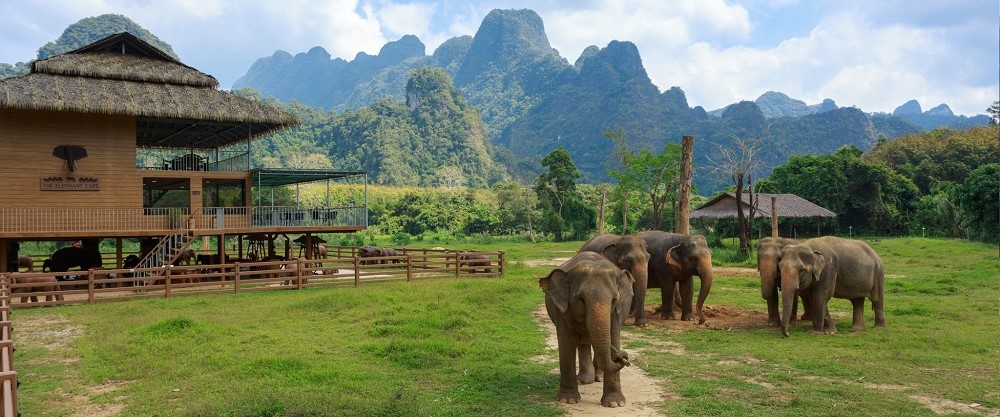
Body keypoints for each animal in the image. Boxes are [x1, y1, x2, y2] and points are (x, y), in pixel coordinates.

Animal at [540, 250, 632, 406]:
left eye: (614, 299)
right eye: (580, 299)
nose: (623, 357)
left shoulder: (617, 312)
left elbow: (613, 337)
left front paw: (614, 404)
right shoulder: (563, 310)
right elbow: (567, 343)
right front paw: (568, 400)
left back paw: (598, 378)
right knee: (583, 343)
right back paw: (584, 380)